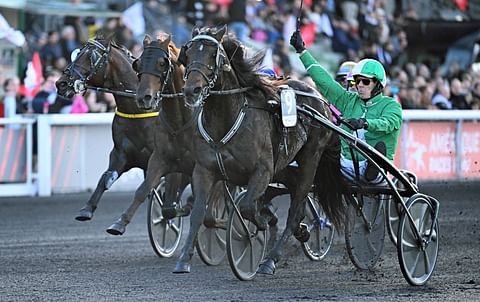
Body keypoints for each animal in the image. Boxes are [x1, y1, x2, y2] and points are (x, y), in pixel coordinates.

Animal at [174, 26, 346, 274]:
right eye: (187, 54)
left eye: (212, 54)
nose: (192, 90)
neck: (227, 119)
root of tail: (320, 99)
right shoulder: (205, 170)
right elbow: (198, 214)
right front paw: (183, 259)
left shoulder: (262, 171)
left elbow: (247, 207)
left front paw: (260, 225)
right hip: (282, 166)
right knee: (294, 193)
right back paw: (301, 230)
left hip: (310, 157)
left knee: (296, 208)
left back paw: (271, 258)